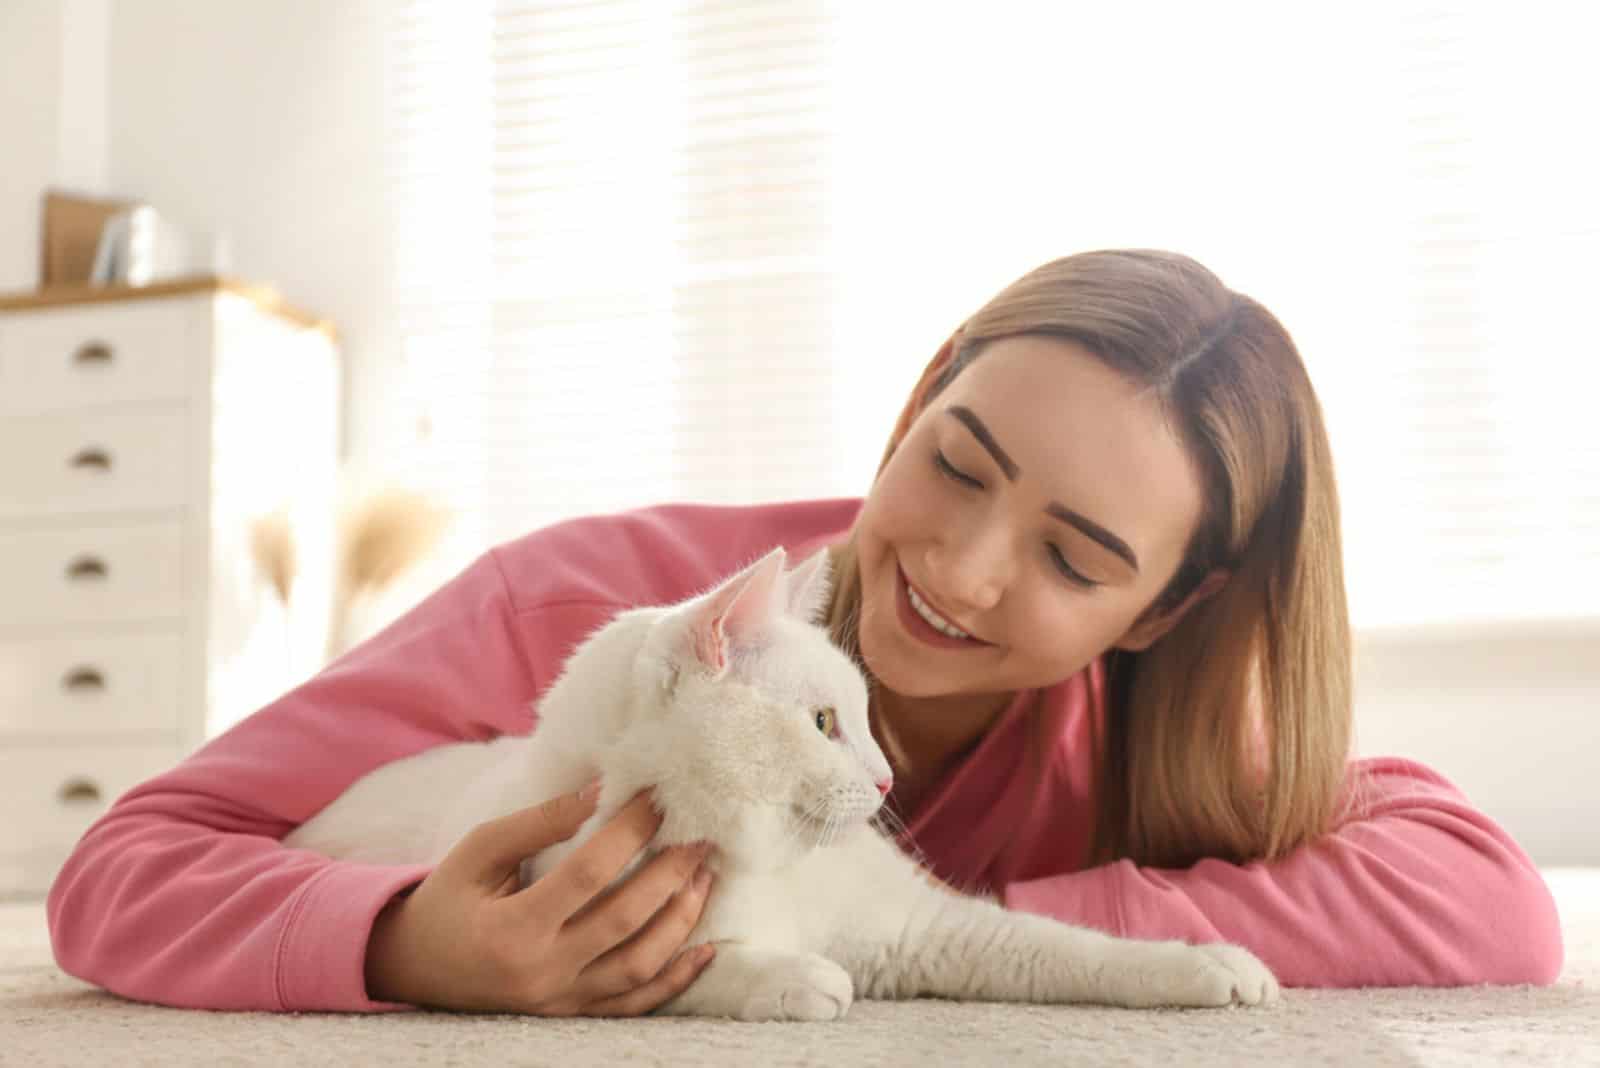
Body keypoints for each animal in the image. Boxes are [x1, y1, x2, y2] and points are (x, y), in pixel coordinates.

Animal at [288, 546, 1280, 1023]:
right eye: (824, 725)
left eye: (862, 717)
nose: (884, 777)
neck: (760, 864)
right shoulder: (582, 945)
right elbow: (691, 974)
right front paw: (795, 978)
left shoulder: (932, 930)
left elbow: (1067, 948)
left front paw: (1212, 964)